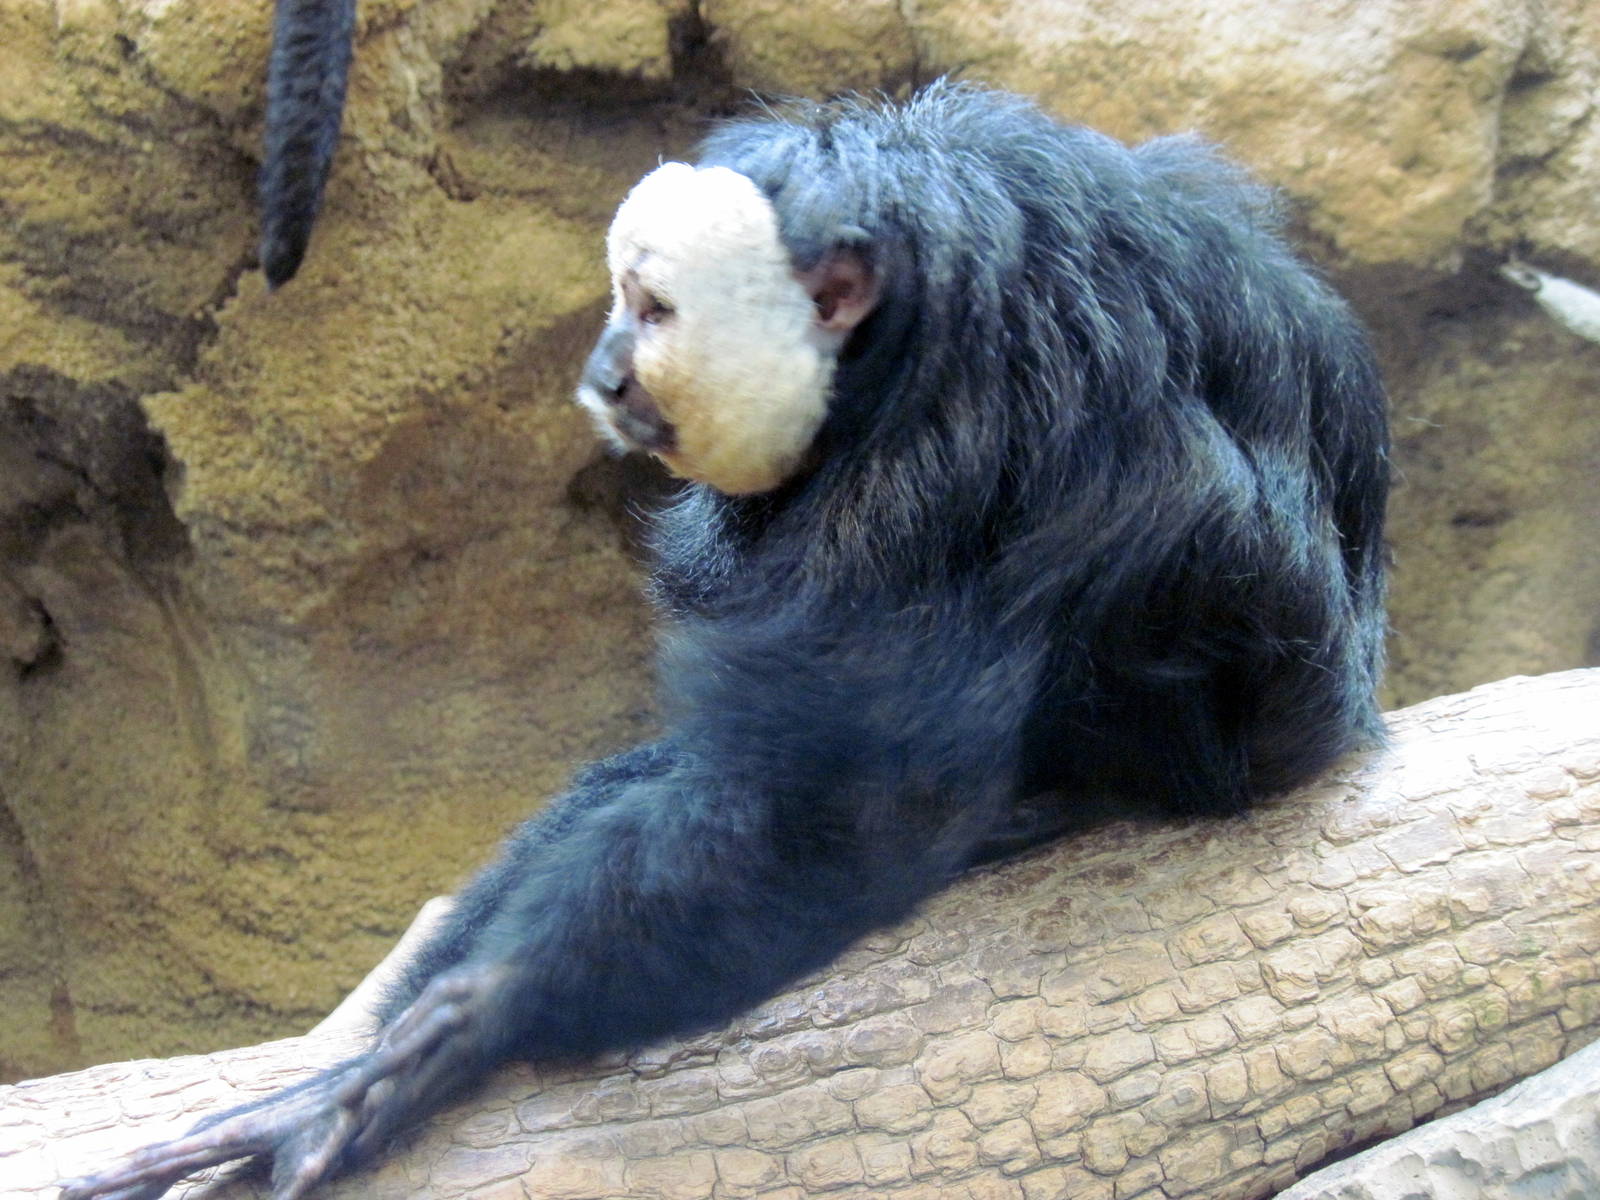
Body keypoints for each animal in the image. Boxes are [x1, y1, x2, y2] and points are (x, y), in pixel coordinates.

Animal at [60, 83, 1388, 1200]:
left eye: (650, 311)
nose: (602, 370)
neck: (885, 348)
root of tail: (1342, 721)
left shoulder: (960, 435)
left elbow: (847, 808)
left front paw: (478, 1022)